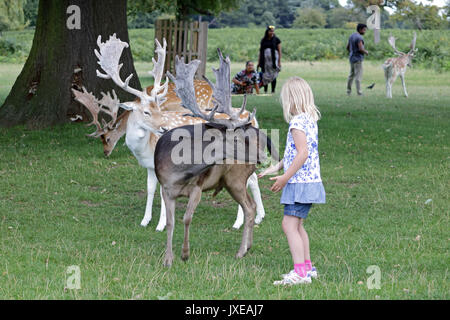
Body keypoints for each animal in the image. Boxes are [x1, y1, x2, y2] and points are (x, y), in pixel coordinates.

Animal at [72, 34, 266, 232]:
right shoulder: (149, 166)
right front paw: (145, 220)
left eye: (159, 109)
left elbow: (162, 191)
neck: (145, 149)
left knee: (246, 180)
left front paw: (161, 225)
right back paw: (259, 217)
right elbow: (150, 189)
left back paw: (238, 222)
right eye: (146, 112)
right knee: (253, 179)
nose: (164, 128)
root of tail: (251, 120)